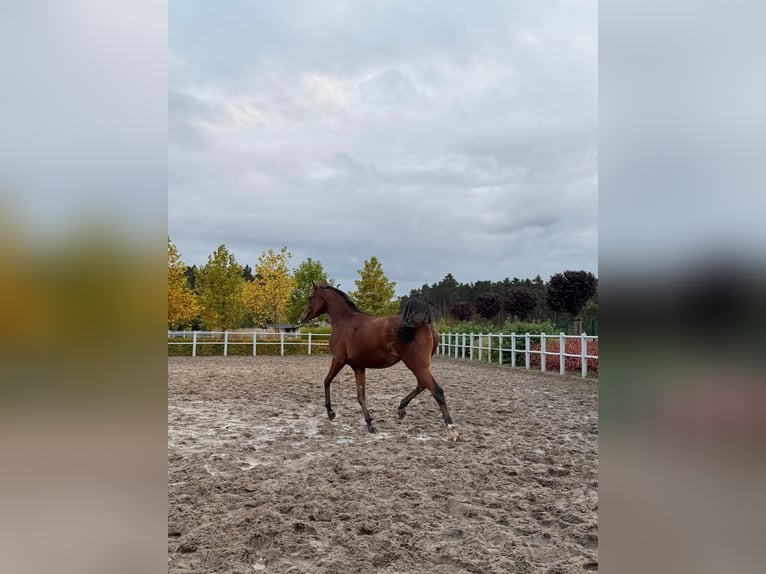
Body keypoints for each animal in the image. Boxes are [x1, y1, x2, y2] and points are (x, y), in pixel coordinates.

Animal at [300, 282, 460, 442]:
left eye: (310, 298)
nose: (303, 317)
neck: (345, 322)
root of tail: (424, 324)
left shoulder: (338, 360)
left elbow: (326, 381)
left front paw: (330, 412)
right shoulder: (358, 367)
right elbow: (361, 396)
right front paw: (370, 424)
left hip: (417, 365)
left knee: (436, 391)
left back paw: (452, 430)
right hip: (420, 366)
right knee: (422, 384)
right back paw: (401, 409)